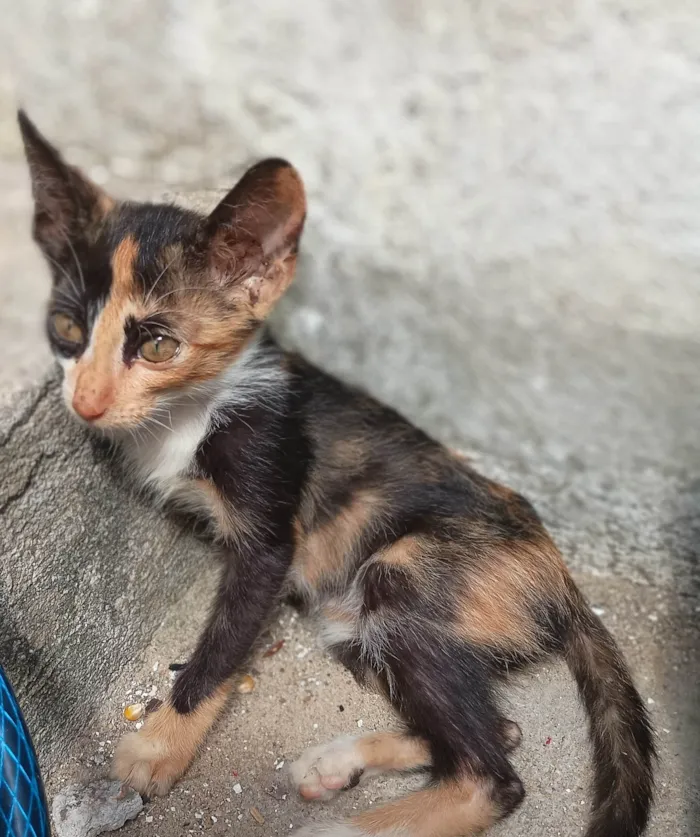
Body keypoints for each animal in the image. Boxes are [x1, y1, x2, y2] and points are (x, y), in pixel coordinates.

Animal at [17, 111, 656, 836]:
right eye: (66, 328)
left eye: (156, 344)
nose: (86, 403)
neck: (191, 410)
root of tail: (563, 580)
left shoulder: (269, 536)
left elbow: (221, 647)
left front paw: (159, 747)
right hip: (351, 619)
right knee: (499, 730)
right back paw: (338, 764)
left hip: (404, 577)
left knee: (492, 776)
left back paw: (346, 823)